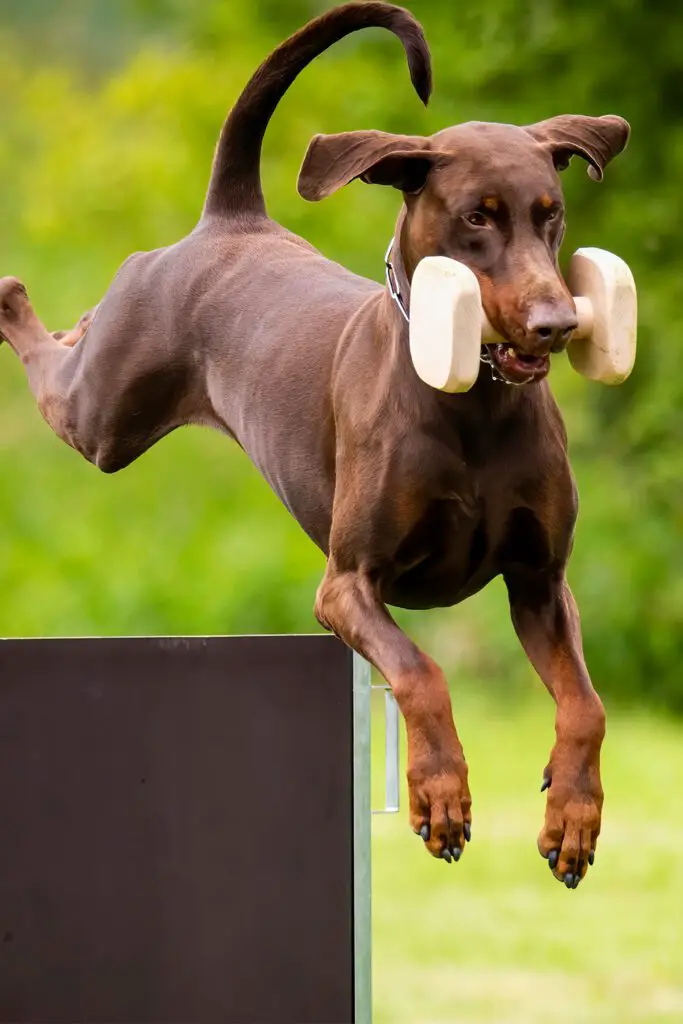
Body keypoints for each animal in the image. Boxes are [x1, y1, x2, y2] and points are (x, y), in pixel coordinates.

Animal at [1, 2, 630, 888]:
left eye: (550, 213)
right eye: (476, 215)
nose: (556, 323)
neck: (471, 406)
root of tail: (231, 218)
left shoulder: (539, 582)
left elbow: (585, 705)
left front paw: (571, 817)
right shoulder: (347, 585)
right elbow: (419, 673)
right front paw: (440, 795)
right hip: (102, 417)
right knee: (54, 355)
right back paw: (18, 300)